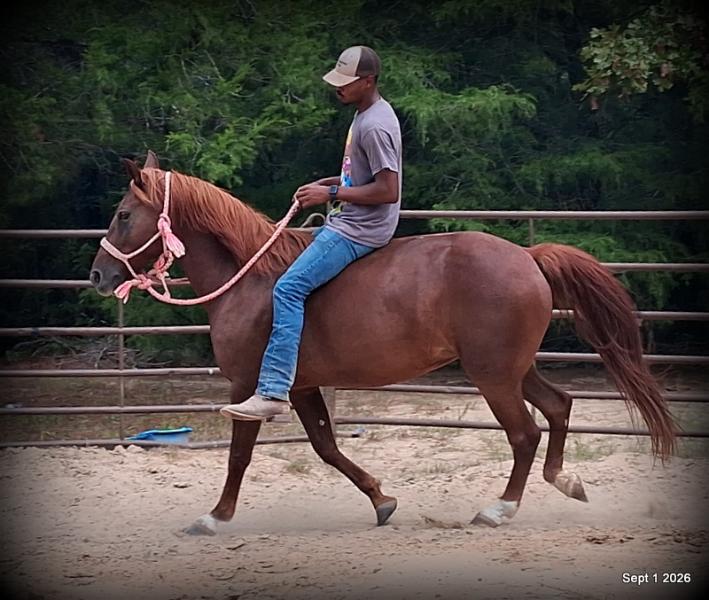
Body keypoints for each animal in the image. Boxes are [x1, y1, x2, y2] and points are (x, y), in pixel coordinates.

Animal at [90, 151, 676, 534]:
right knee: (558, 407)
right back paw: (564, 481)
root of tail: (527, 256)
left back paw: (498, 509)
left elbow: (239, 456)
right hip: (512, 368)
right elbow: (327, 448)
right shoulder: (301, 387)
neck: (252, 278)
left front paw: (213, 517)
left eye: (122, 214)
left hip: (492, 375)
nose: (98, 275)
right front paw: (382, 500)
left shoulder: (248, 386)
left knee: (525, 433)